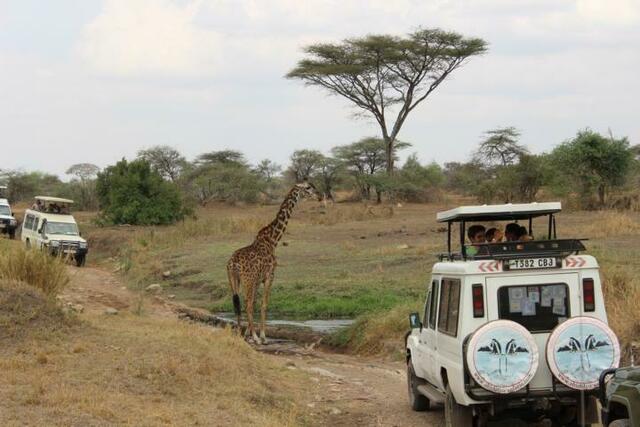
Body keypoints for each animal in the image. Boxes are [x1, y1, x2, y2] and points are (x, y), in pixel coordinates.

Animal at [226, 182, 322, 344]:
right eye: (308, 188)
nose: (320, 196)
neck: (273, 240)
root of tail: (233, 263)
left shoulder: (258, 280)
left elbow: (256, 303)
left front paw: (249, 333)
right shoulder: (270, 276)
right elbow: (264, 304)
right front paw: (262, 336)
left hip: (234, 279)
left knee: (238, 303)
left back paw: (239, 333)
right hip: (247, 280)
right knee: (247, 303)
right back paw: (255, 338)